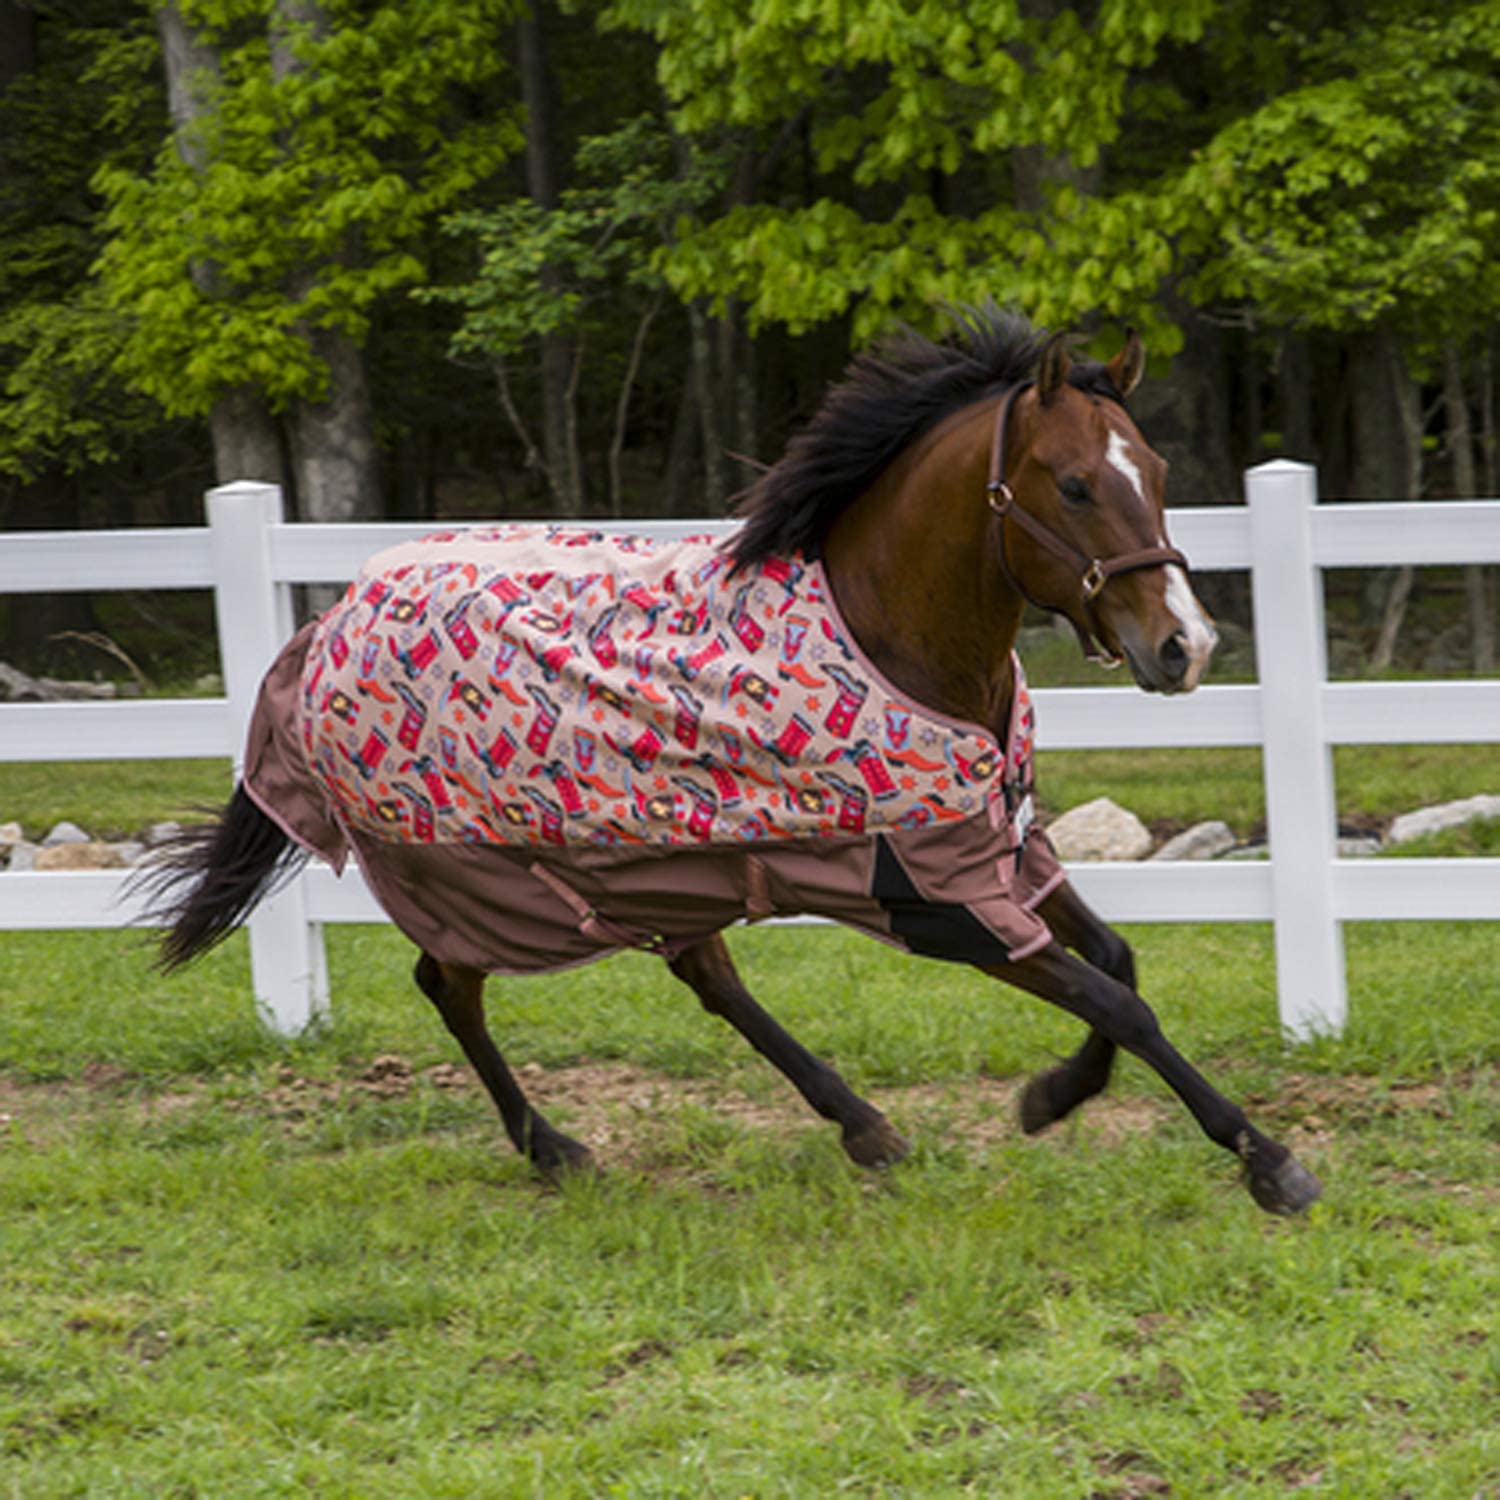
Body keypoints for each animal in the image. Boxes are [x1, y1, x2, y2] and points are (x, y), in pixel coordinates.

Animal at [146, 307, 1321, 1216]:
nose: (1185, 646)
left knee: (702, 976)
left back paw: (863, 1127)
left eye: (1154, 471)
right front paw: (1268, 1162)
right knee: (451, 986)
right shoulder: (931, 899)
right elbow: (1116, 1000)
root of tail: (329, 617)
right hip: (475, 871)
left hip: (654, 865)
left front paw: (1052, 1096)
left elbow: (1117, 963)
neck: (890, 638)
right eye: (1074, 484)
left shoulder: (1002, 852)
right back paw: (555, 1148)